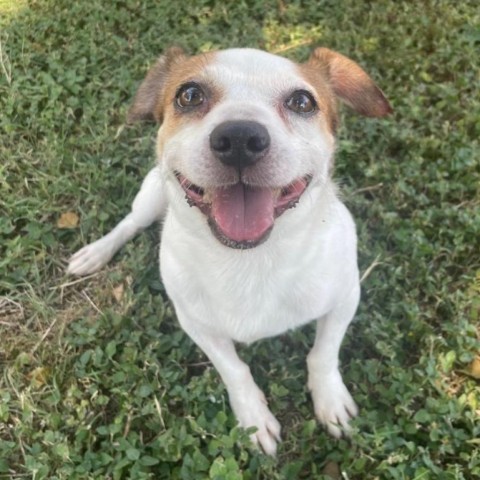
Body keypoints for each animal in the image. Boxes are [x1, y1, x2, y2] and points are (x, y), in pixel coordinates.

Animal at [66, 47, 390, 456]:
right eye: (189, 95)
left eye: (302, 101)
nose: (239, 138)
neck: (249, 260)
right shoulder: (196, 324)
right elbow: (234, 370)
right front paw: (254, 418)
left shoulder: (346, 298)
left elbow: (324, 353)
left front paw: (329, 400)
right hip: (151, 194)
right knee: (130, 222)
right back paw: (96, 252)